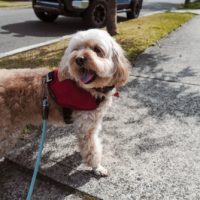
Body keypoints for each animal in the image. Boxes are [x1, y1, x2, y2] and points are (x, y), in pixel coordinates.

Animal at [0, 28, 130, 176]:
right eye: (76, 49)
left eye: (97, 49)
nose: (79, 59)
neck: (89, 89)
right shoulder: (85, 126)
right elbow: (92, 149)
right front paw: (96, 167)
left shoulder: (93, 123)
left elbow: (92, 144)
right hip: (7, 132)